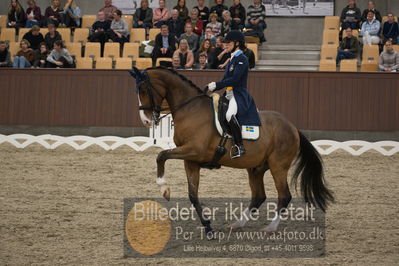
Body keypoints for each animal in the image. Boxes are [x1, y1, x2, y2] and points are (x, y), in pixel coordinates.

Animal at [129, 66, 334, 233]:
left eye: (143, 89)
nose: (146, 121)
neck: (191, 109)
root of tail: (292, 127)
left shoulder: (194, 151)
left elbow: (161, 155)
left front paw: (164, 187)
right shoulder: (191, 160)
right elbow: (193, 195)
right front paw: (208, 227)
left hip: (278, 166)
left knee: (284, 196)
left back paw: (270, 228)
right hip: (256, 168)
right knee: (258, 197)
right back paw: (236, 224)